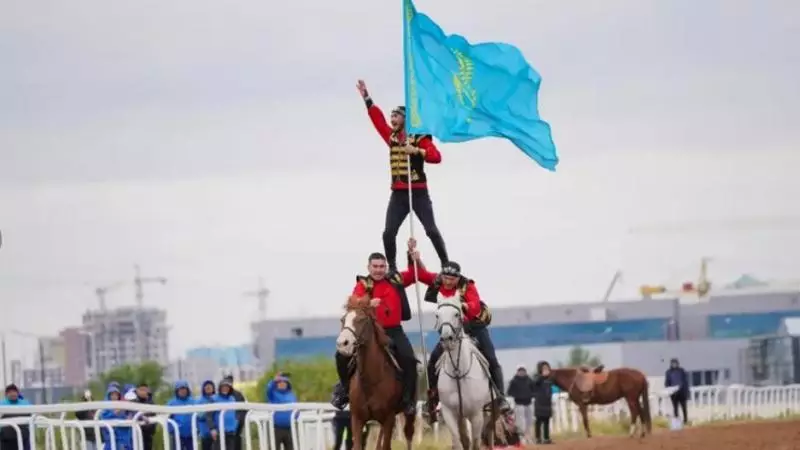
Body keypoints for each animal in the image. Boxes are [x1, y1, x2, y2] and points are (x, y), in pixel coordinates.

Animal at [338, 296, 416, 450]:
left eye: (361, 319)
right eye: (343, 319)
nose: (342, 344)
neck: (370, 380)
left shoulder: (388, 418)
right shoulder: (357, 419)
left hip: (409, 413)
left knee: (408, 434)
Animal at [432, 296, 494, 450]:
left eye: (456, 314)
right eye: (437, 315)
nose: (446, 339)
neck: (458, 372)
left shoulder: (476, 414)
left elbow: (476, 442)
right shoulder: (449, 413)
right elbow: (458, 442)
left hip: (490, 411)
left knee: (489, 433)